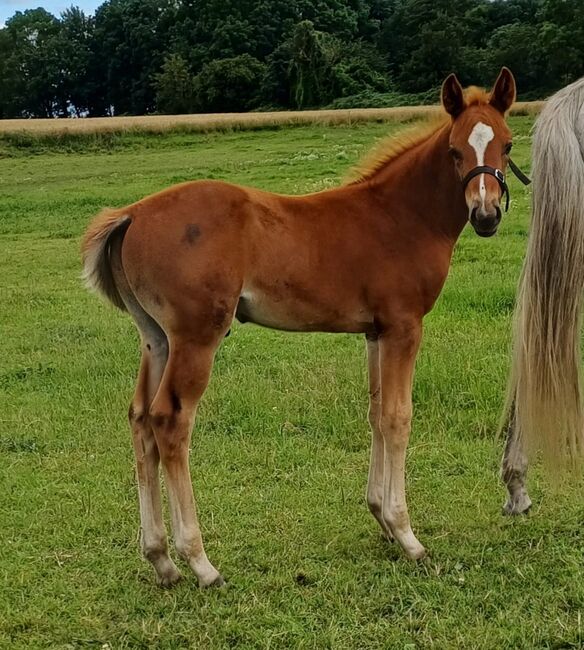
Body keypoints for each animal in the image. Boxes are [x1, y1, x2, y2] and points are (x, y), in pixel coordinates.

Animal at [81, 68, 516, 584]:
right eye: (454, 150)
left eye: (507, 144)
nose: (486, 215)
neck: (401, 216)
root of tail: (132, 214)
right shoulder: (404, 326)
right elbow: (398, 417)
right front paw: (406, 534)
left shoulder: (375, 332)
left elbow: (375, 413)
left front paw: (380, 519)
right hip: (196, 337)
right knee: (169, 420)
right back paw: (201, 563)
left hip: (156, 338)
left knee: (140, 419)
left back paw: (161, 559)